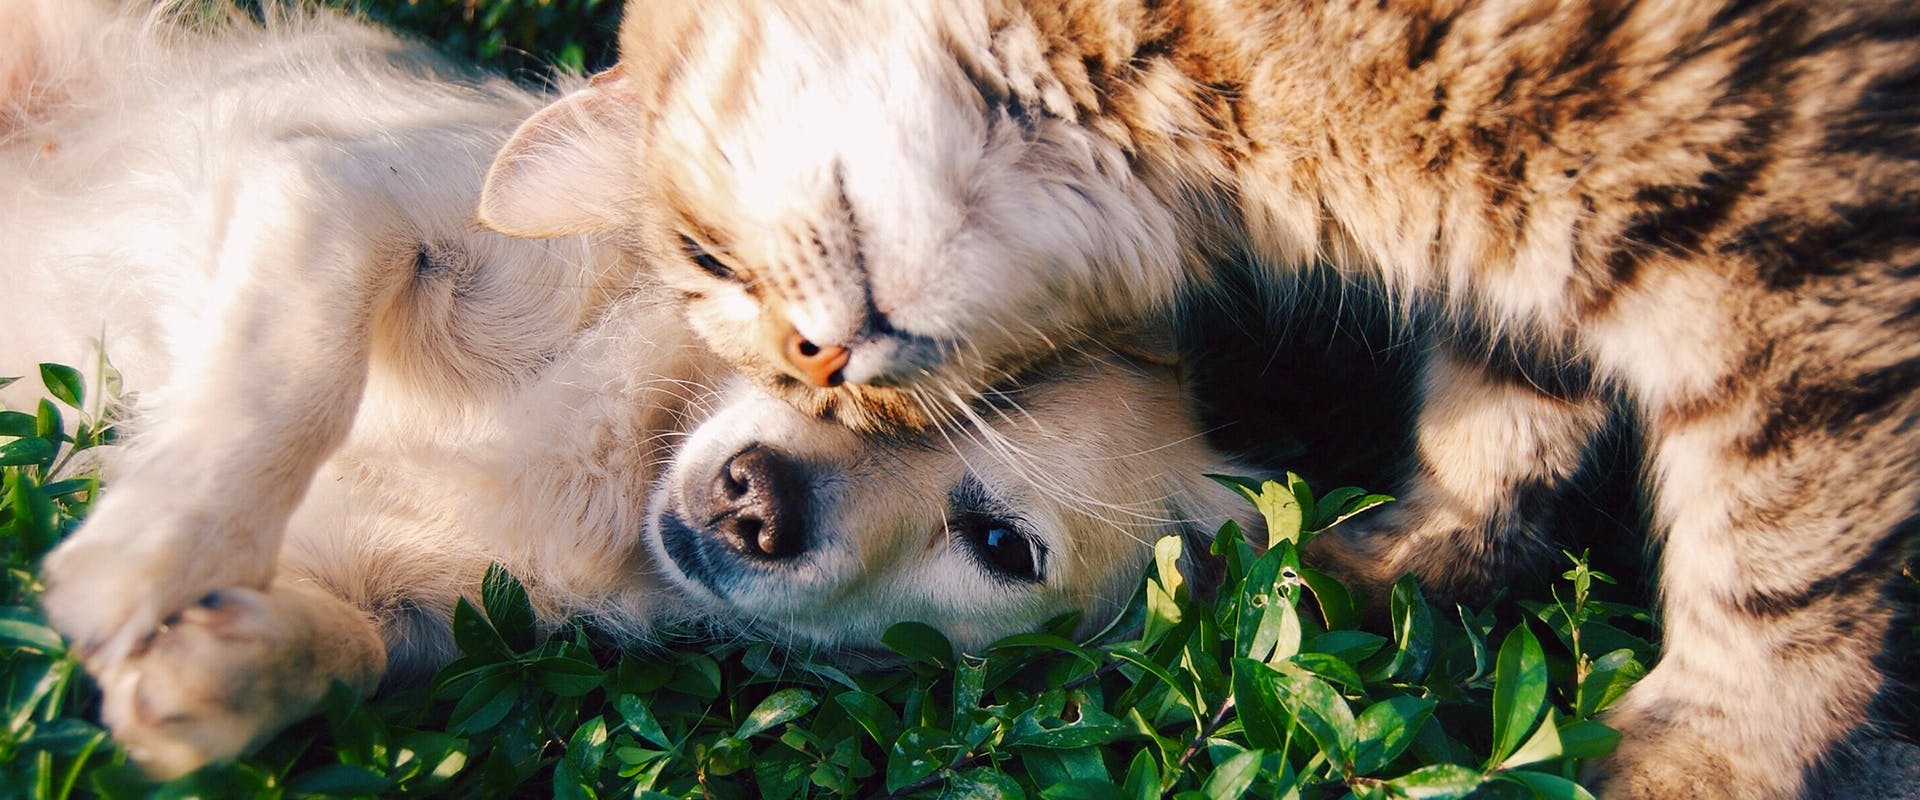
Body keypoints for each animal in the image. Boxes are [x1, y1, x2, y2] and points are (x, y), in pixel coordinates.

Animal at [476, 3, 1920, 794]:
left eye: (707, 261)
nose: (819, 370)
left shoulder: (1793, 229)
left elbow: (1779, 556)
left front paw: (1710, 756)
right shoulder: (1533, 253)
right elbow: (1498, 418)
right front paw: (1398, 563)